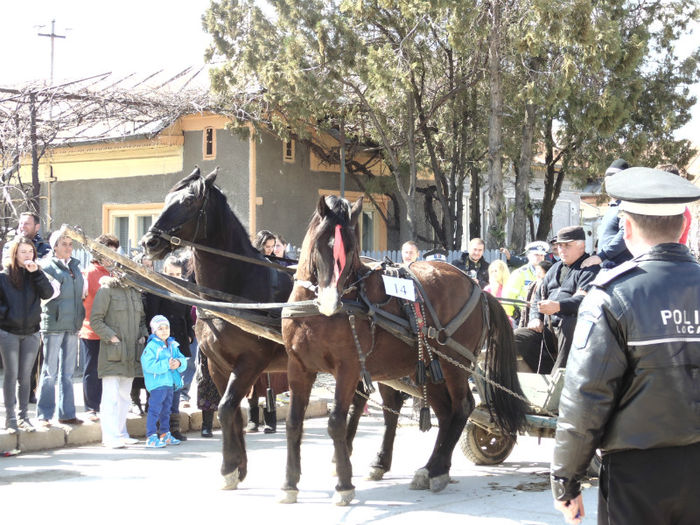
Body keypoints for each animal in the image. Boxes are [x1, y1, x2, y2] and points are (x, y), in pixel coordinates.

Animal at [282, 195, 528, 504]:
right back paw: (432, 467)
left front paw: (344, 483)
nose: (330, 300)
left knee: (463, 407)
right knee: (446, 413)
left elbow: (337, 421)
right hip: (430, 369)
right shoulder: (298, 367)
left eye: (350, 251)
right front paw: (290, 484)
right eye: (320, 246)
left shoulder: (348, 369)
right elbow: (293, 422)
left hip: (454, 364)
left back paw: (437, 469)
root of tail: (478, 288)